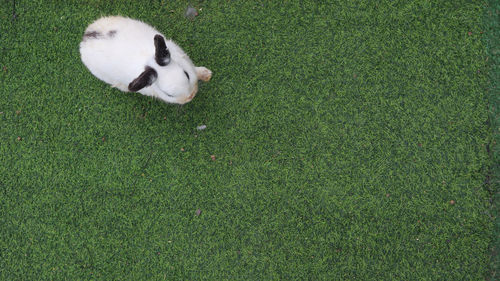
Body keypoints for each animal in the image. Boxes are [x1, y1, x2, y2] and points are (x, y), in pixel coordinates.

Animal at [79, 16, 211, 104]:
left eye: (186, 74)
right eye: (168, 94)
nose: (191, 96)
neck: (148, 61)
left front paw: (207, 74)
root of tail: (84, 39)